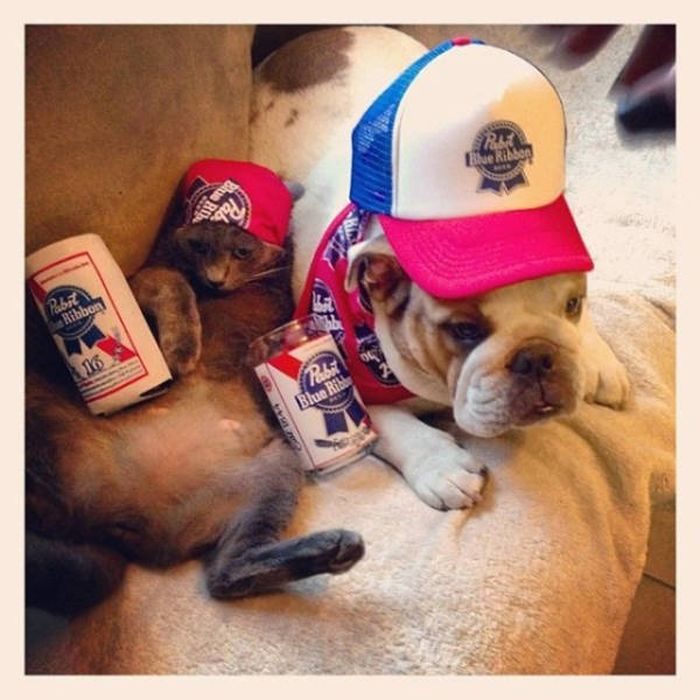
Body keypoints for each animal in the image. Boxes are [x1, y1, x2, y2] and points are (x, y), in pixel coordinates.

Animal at [25, 208, 365, 616]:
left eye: (241, 251)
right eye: (199, 245)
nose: (216, 278)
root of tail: (120, 518)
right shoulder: (139, 281)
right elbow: (172, 282)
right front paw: (182, 353)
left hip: (277, 464)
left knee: (227, 573)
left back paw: (337, 549)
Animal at [251, 26, 630, 511]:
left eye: (573, 304)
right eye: (464, 330)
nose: (538, 356)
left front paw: (596, 356)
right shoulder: (349, 382)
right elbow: (388, 424)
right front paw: (441, 466)